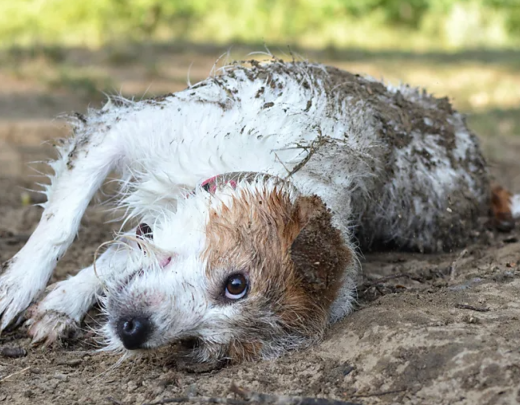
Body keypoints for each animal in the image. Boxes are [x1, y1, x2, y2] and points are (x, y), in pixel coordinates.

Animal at [1, 59, 520, 362]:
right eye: (237, 284)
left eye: (200, 343)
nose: (134, 332)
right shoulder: (118, 130)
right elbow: (61, 225)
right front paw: (18, 287)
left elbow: (117, 258)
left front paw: (62, 303)